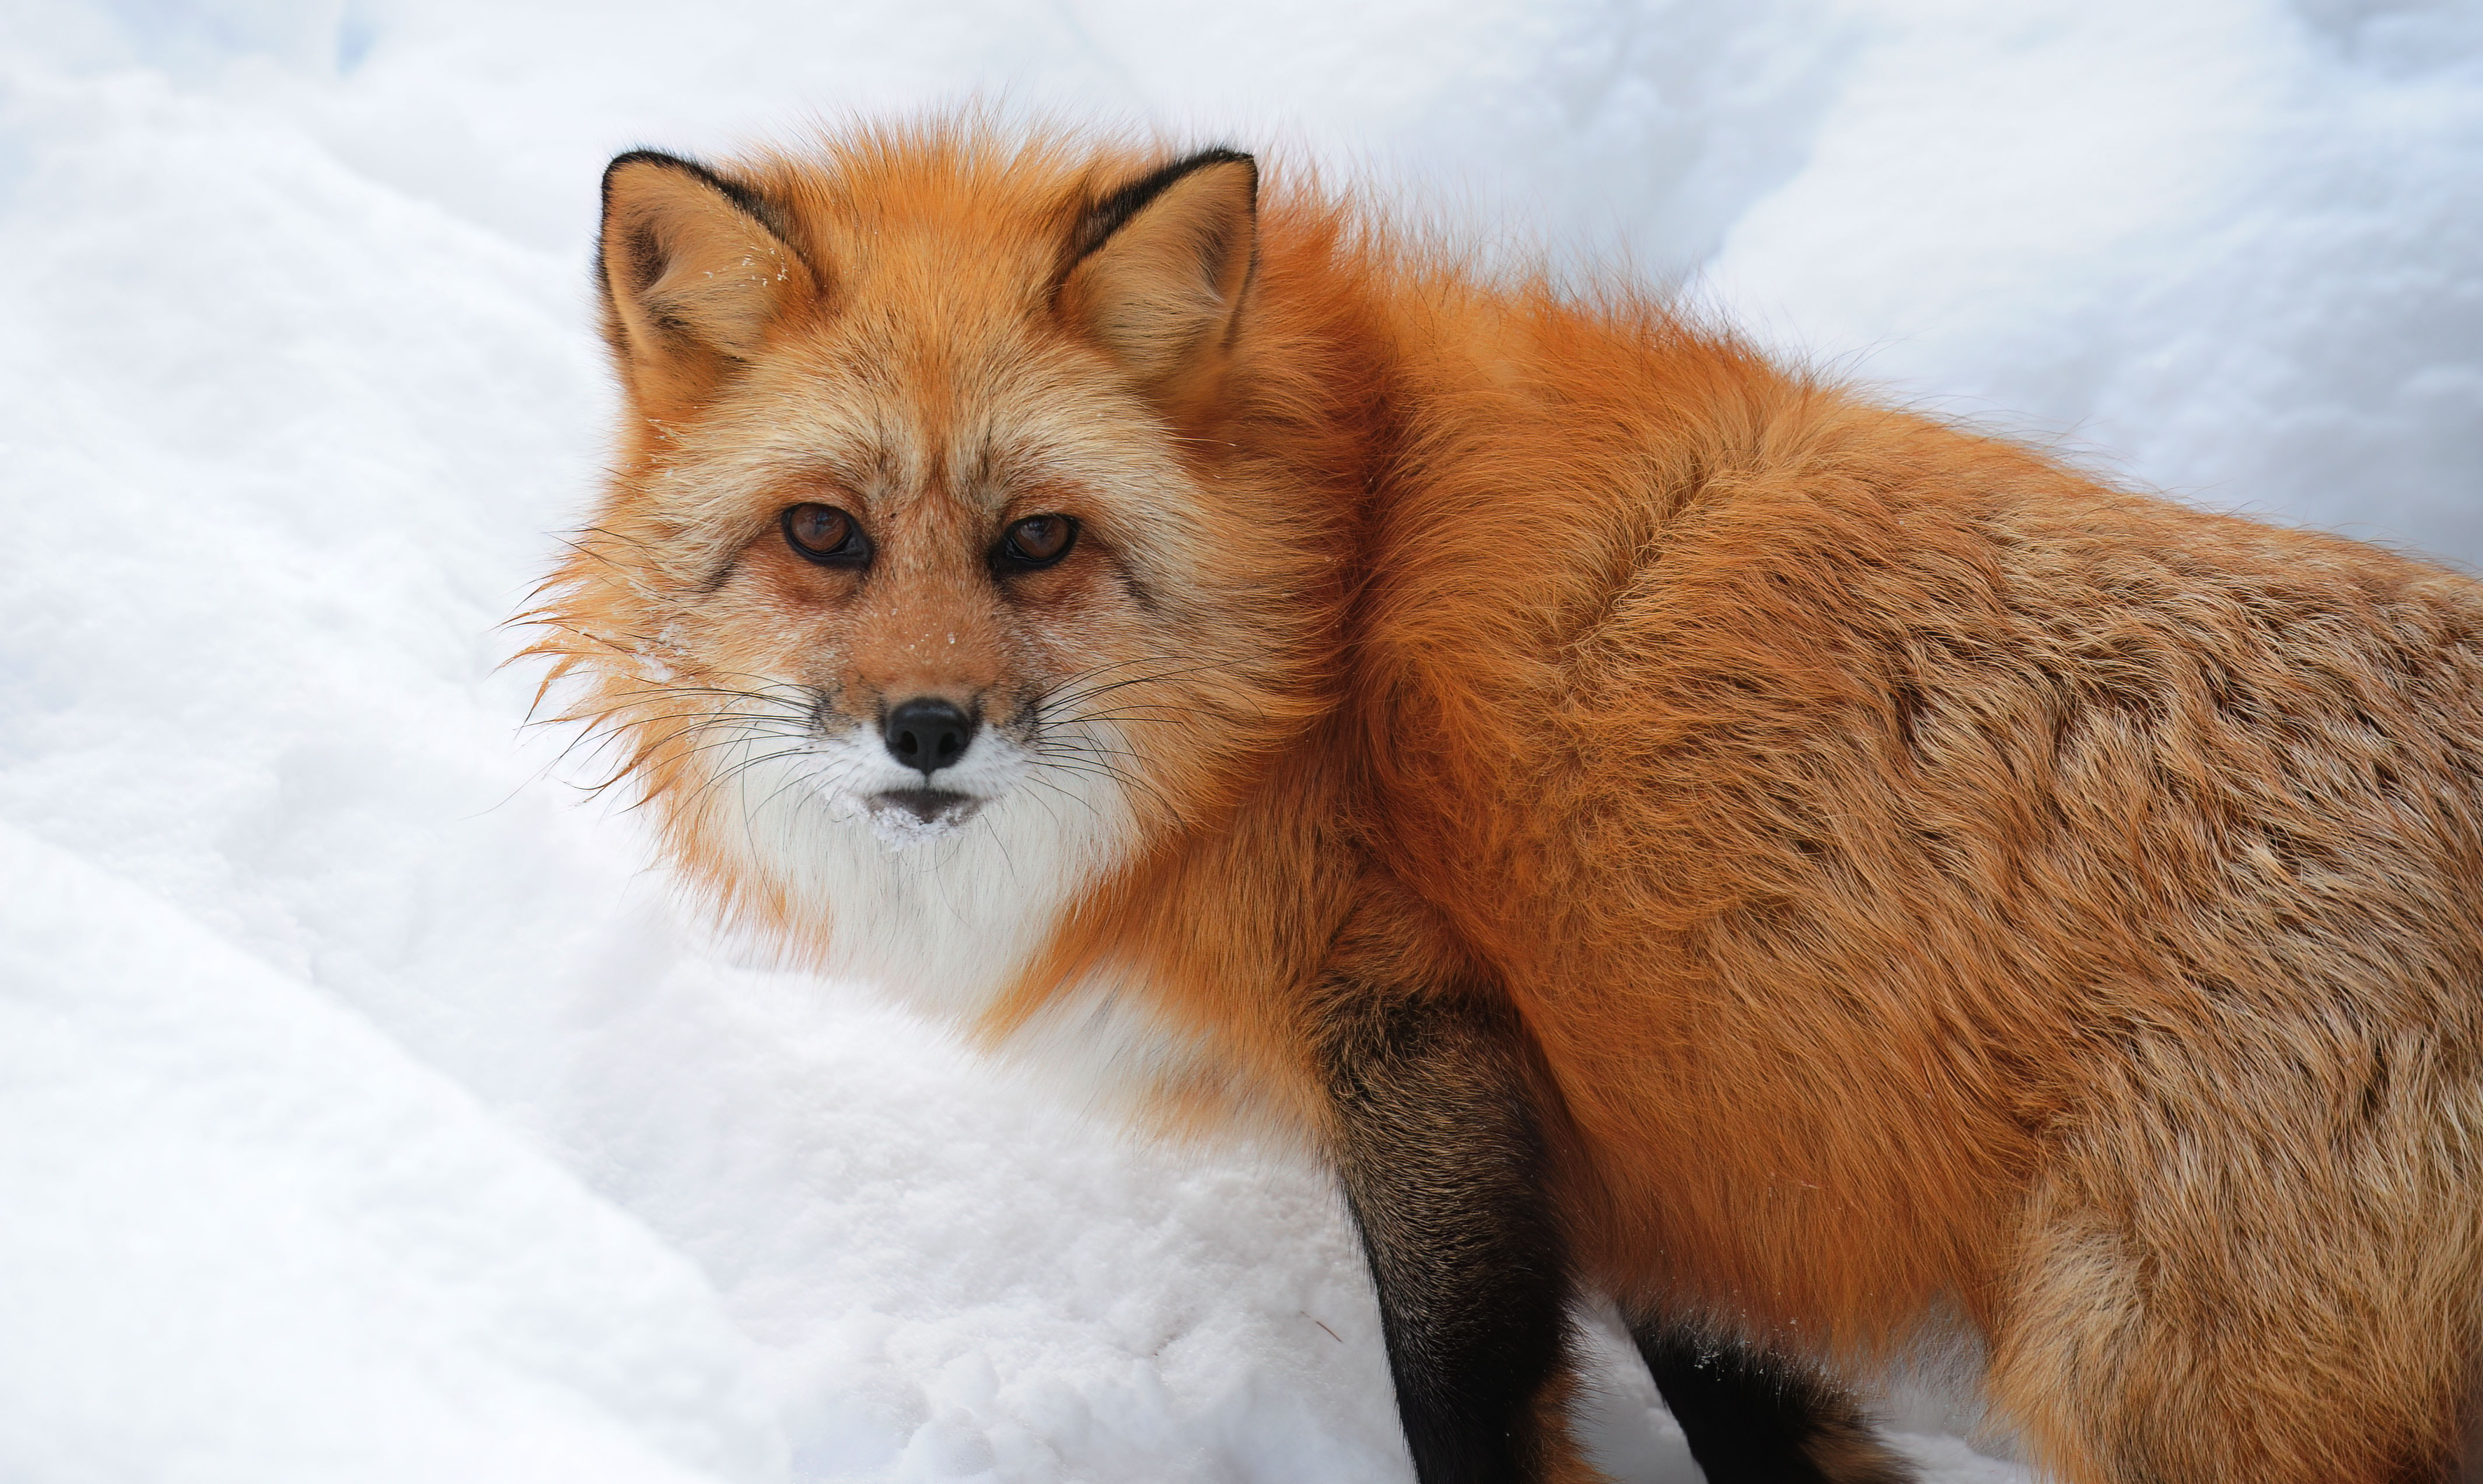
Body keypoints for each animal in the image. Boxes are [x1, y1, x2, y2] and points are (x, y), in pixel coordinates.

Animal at [524, 118, 2483, 1484]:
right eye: (825, 536)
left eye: (1037, 542)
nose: (925, 728)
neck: (1323, 601)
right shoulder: (1677, 1141)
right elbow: (1763, 1425)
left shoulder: (1424, 1039)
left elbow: (1462, 1405)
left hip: (2143, 1380)